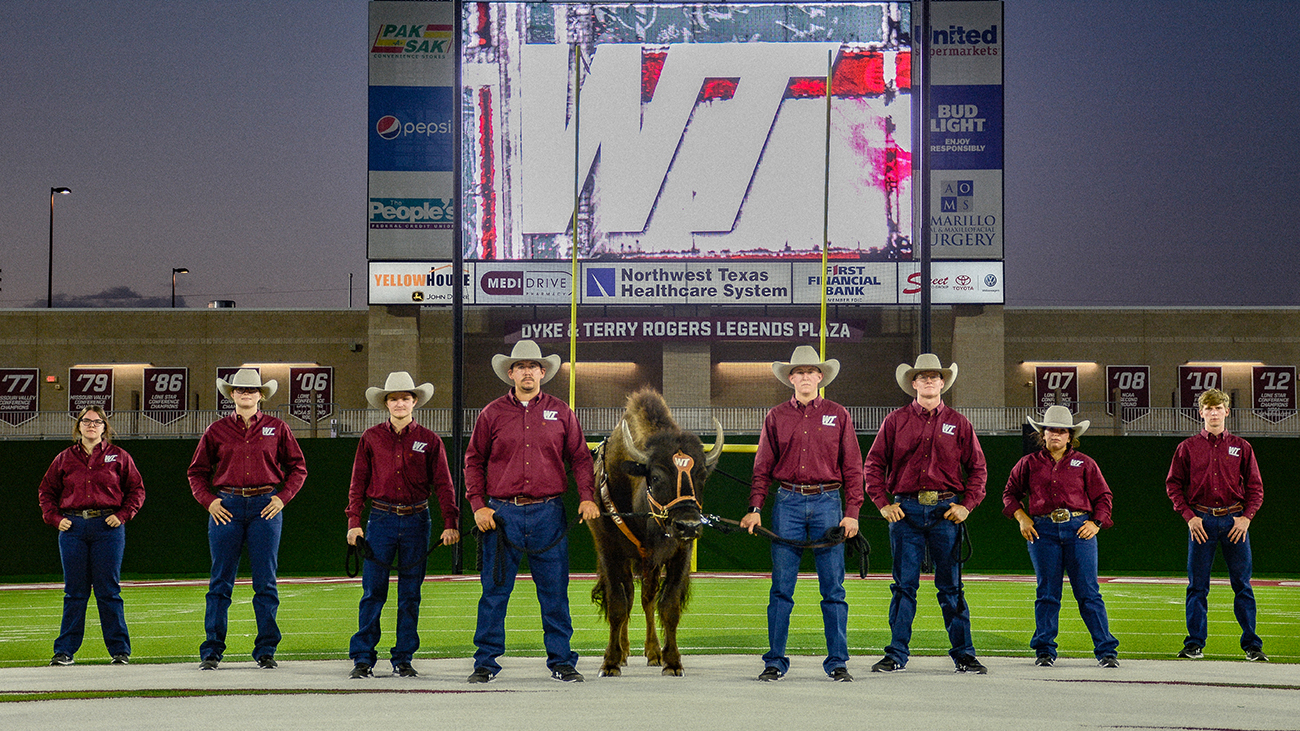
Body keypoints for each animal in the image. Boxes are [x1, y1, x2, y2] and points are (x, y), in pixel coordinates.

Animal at [587, 385, 722, 676]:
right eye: (657, 476)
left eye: (702, 476)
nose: (689, 525)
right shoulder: (610, 552)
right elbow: (617, 603)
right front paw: (610, 662)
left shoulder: (679, 553)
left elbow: (668, 605)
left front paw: (671, 662)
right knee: (628, 596)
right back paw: (624, 652)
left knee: (647, 599)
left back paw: (652, 653)